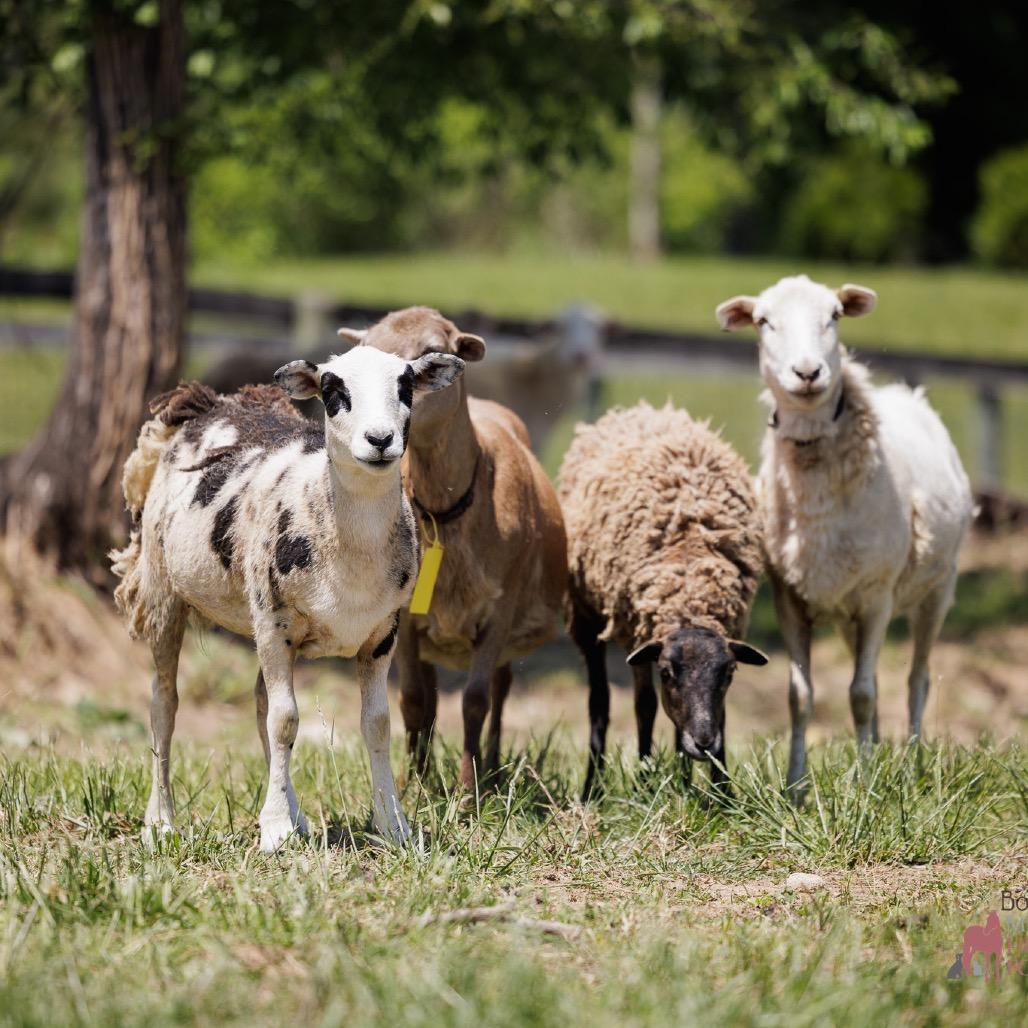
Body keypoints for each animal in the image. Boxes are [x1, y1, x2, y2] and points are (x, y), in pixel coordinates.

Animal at [110, 345, 465, 850]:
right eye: (334, 391)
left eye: (405, 387)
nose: (380, 439)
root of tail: (209, 401)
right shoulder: (275, 625)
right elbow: (286, 721)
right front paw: (275, 830)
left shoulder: (382, 633)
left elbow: (375, 723)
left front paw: (393, 826)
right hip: (167, 594)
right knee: (165, 704)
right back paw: (161, 821)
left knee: (260, 702)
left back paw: (294, 814)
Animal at [340, 306, 568, 788]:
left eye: (432, 352)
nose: (380, 433)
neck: (442, 515)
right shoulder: (405, 618)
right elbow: (412, 700)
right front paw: (413, 786)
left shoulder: (499, 612)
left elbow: (475, 701)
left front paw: (468, 790)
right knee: (427, 698)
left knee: (500, 690)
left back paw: (493, 764)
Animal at [557, 401, 768, 797]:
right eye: (668, 672)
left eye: (729, 673)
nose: (704, 743)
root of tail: (641, 410)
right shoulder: (638, 636)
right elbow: (644, 705)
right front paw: (648, 779)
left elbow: (715, 715)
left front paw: (720, 792)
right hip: (588, 616)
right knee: (604, 702)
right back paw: (597, 787)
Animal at [716, 274, 974, 795]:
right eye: (764, 321)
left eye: (834, 315)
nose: (808, 372)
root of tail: (906, 393)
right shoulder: (790, 597)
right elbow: (801, 696)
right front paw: (796, 788)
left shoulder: (877, 595)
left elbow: (861, 694)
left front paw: (869, 786)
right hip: (849, 613)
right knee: (871, 673)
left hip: (937, 588)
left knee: (916, 680)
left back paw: (911, 764)